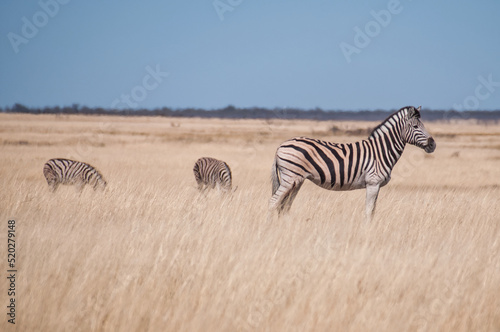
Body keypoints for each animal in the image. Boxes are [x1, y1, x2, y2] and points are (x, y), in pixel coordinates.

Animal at [270, 105, 434, 222]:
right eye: (415, 127)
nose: (433, 144)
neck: (381, 151)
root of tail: (280, 146)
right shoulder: (373, 183)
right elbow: (368, 211)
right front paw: (367, 230)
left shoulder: (377, 185)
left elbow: (373, 210)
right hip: (290, 178)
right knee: (274, 201)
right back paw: (269, 226)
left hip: (296, 180)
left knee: (284, 205)